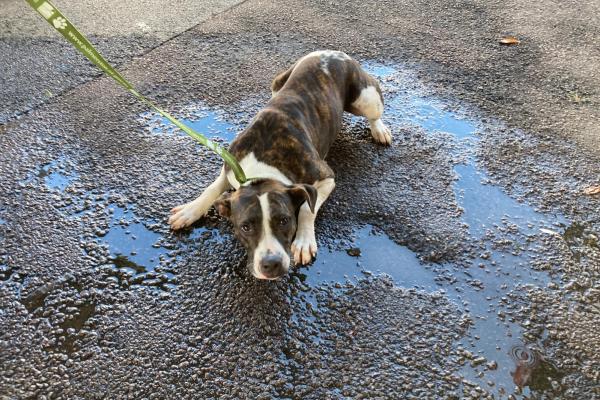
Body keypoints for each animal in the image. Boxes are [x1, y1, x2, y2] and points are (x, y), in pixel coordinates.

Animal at [170, 50, 394, 280]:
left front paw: (303, 241)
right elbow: (212, 188)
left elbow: (306, 208)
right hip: (277, 82)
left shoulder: (325, 177)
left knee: (374, 115)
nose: (271, 264)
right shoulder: (231, 165)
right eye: (245, 227)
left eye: (284, 220)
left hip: (366, 99)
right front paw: (190, 210)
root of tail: (333, 52)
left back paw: (379, 130)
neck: (261, 171)